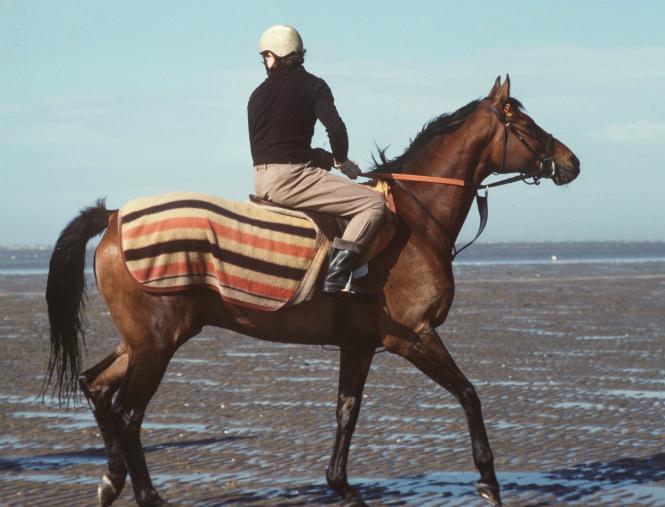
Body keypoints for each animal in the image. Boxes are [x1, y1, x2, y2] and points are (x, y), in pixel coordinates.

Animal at [43, 75, 580, 506]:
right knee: (128, 414)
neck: (414, 217)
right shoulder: (413, 336)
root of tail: (113, 216)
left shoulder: (359, 344)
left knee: (96, 387)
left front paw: (342, 486)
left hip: (141, 341)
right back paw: (147, 495)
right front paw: (488, 481)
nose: (572, 162)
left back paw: (111, 482)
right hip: (157, 343)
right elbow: (469, 394)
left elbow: (347, 413)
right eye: (526, 124)